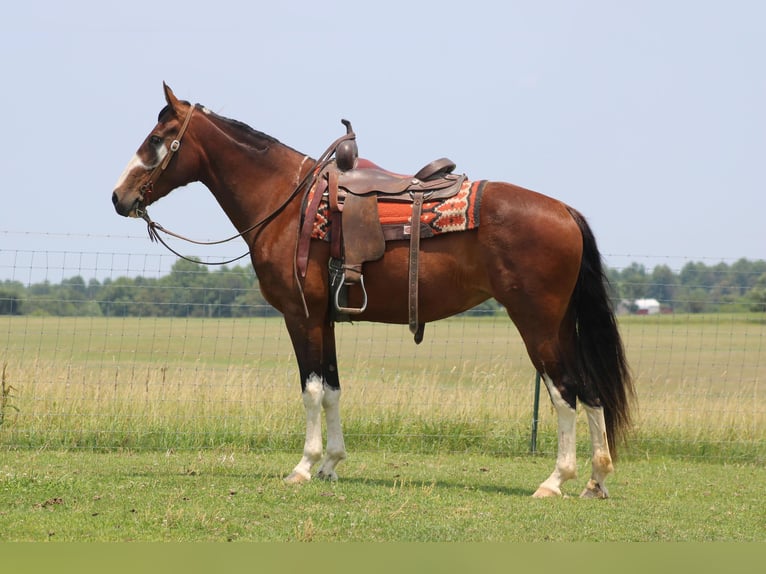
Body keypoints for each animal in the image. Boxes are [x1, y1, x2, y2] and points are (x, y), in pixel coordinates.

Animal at [109, 84, 636, 500]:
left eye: (156, 140)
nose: (118, 197)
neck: (288, 203)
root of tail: (564, 211)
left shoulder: (301, 316)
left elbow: (310, 390)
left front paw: (304, 466)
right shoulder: (324, 320)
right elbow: (333, 389)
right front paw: (331, 464)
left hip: (537, 324)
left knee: (564, 392)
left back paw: (555, 480)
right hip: (560, 325)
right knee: (590, 391)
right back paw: (596, 479)